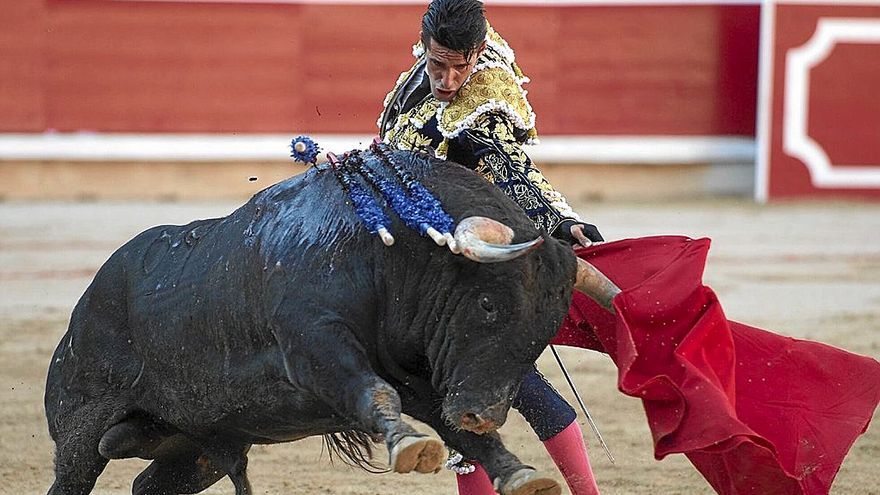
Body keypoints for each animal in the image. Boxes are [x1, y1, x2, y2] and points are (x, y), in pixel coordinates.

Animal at [45, 146, 581, 495]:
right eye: (488, 303)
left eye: (548, 327)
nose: (482, 411)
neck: (388, 250)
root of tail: (83, 307)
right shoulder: (317, 348)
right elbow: (377, 395)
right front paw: (411, 444)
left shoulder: (424, 382)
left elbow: (462, 435)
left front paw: (519, 473)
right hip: (79, 431)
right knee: (72, 478)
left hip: (195, 452)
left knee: (148, 484)